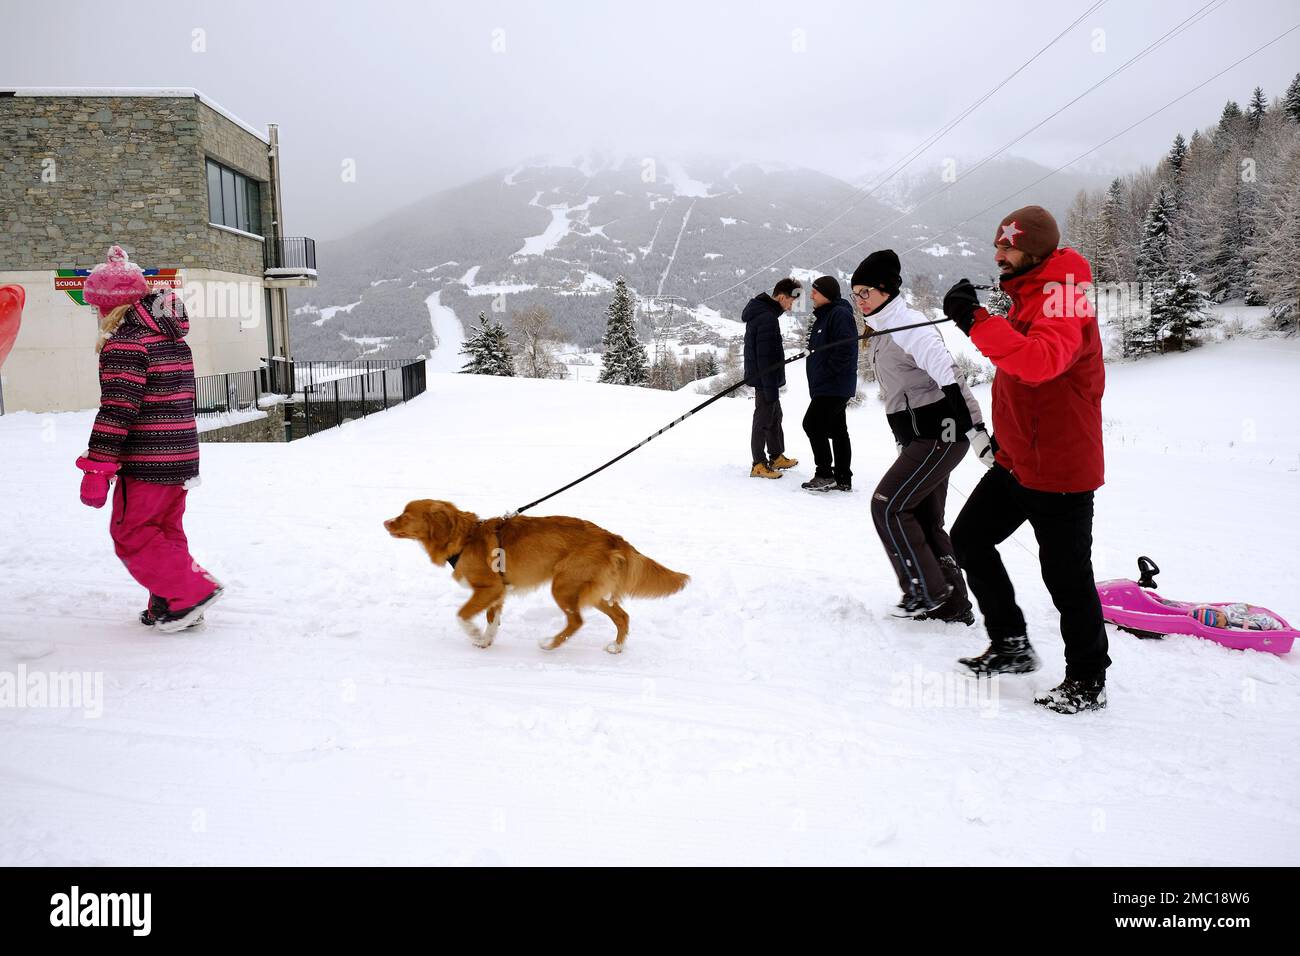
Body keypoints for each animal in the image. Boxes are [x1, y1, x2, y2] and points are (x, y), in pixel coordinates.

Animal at [382, 502, 691, 650]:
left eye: (405, 515)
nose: (385, 522)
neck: (465, 537)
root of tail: (613, 538)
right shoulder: (497, 592)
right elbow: (492, 619)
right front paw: (485, 641)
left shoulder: (487, 588)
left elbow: (462, 614)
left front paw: (473, 632)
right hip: (588, 591)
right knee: (622, 616)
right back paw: (616, 647)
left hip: (563, 586)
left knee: (577, 621)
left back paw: (550, 644)